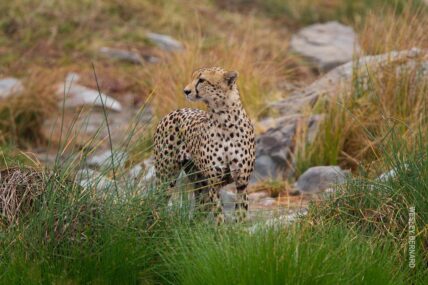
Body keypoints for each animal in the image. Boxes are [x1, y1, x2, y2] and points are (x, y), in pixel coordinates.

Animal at [153, 66, 254, 222]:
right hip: (166, 177)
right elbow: (219, 216)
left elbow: (241, 215)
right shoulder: (214, 183)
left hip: (200, 184)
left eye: (201, 80)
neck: (225, 121)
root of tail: (173, 112)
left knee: (198, 213)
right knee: (156, 202)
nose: (186, 91)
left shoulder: (242, 183)